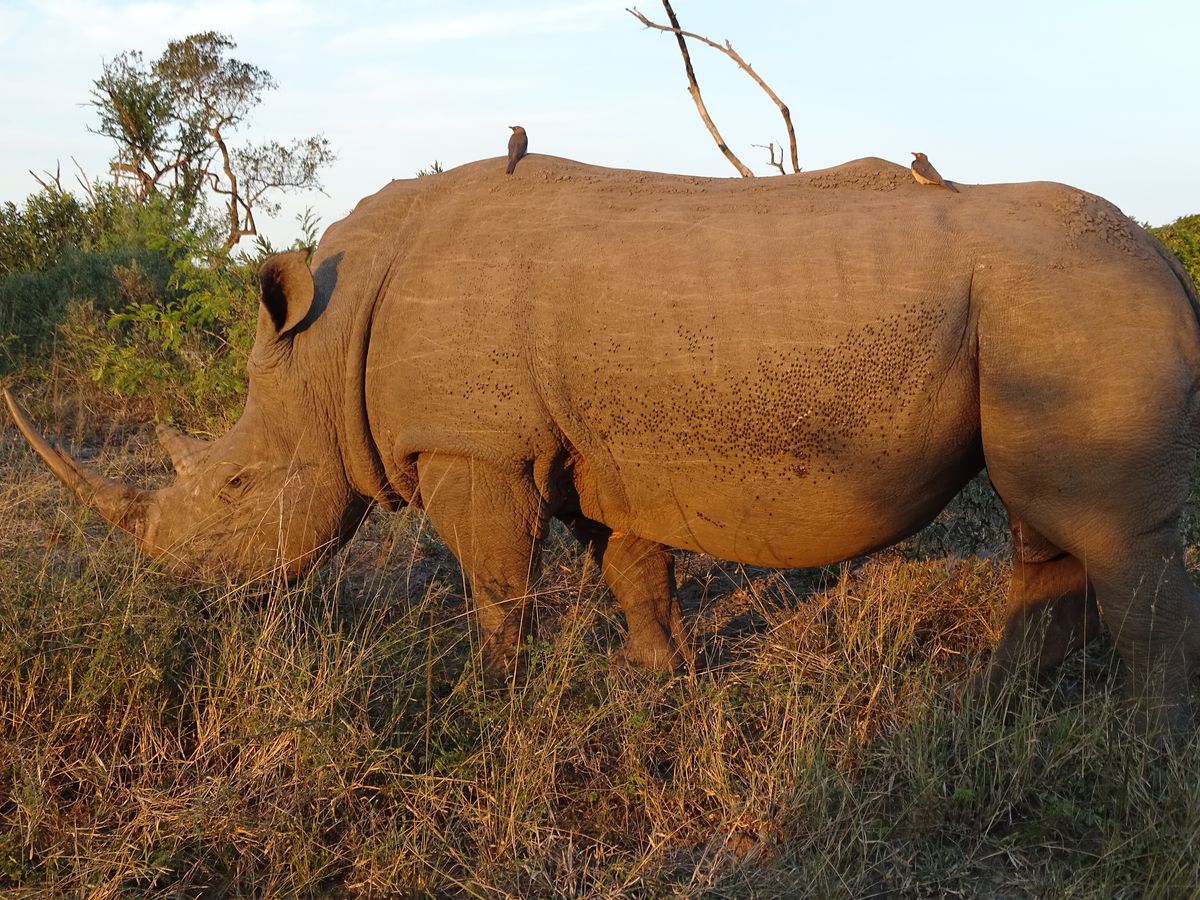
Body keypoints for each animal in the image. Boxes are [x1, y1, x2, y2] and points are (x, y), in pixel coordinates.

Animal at [7, 156, 1200, 727]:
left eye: (239, 485)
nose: (188, 598)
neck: (328, 338)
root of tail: (1165, 258)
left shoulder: (474, 445)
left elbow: (496, 581)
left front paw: (484, 706)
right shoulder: (586, 448)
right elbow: (631, 567)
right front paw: (663, 684)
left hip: (1082, 300)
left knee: (1109, 535)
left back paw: (1141, 750)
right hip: (1052, 310)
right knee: (1050, 524)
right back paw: (993, 712)